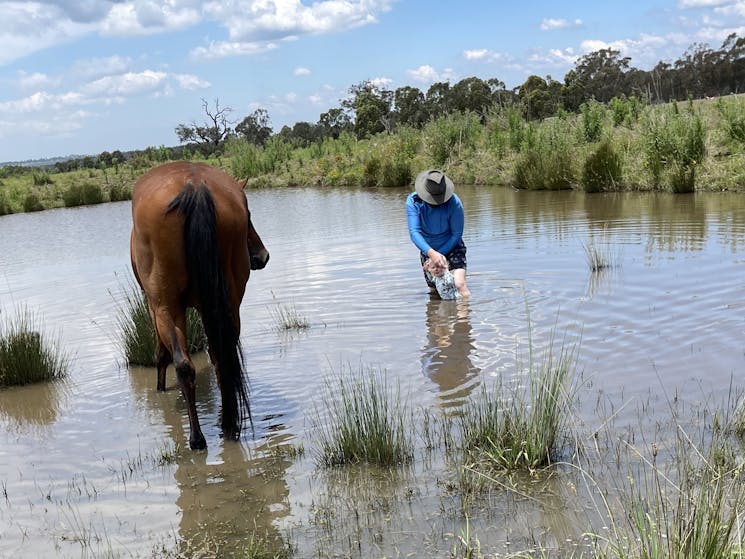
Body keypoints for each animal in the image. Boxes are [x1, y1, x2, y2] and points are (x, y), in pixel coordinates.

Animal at [129, 162, 268, 450]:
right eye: (249, 214)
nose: (263, 256)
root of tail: (194, 186)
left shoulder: (152, 305)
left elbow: (161, 353)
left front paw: (160, 387)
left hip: (166, 306)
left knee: (184, 365)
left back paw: (197, 439)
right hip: (228, 302)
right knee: (221, 358)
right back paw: (228, 425)